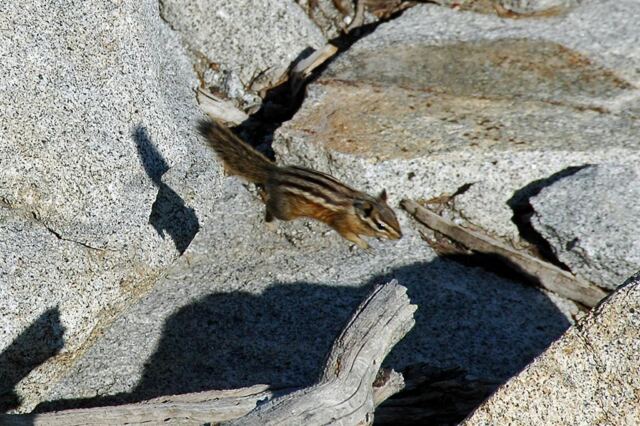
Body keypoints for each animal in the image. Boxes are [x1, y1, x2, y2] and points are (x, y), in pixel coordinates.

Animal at [198, 119, 402, 249]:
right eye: (381, 226)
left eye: (395, 217)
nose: (400, 236)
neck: (356, 207)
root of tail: (276, 172)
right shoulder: (340, 223)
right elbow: (349, 236)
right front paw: (365, 245)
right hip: (287, 211)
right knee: (270, 205)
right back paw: (267, 213)